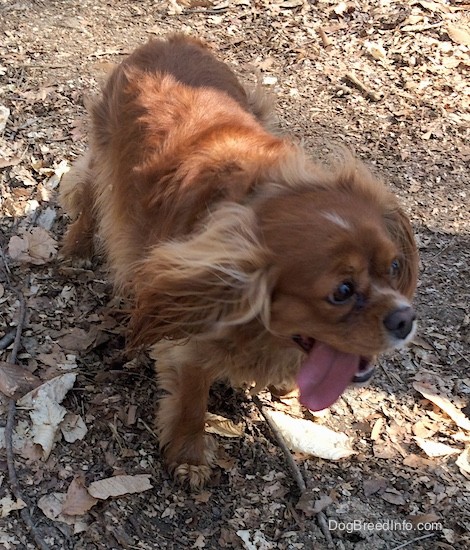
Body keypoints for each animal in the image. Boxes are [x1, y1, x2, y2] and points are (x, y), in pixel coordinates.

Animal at [59, 34, 418, 490]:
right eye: (342, 291)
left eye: (394, 267)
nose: (405, 318)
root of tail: (169, 40)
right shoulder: (190, 333)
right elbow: (192, 398)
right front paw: (190, 456)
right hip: (106, 154)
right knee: (91, 195)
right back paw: (77, 248)